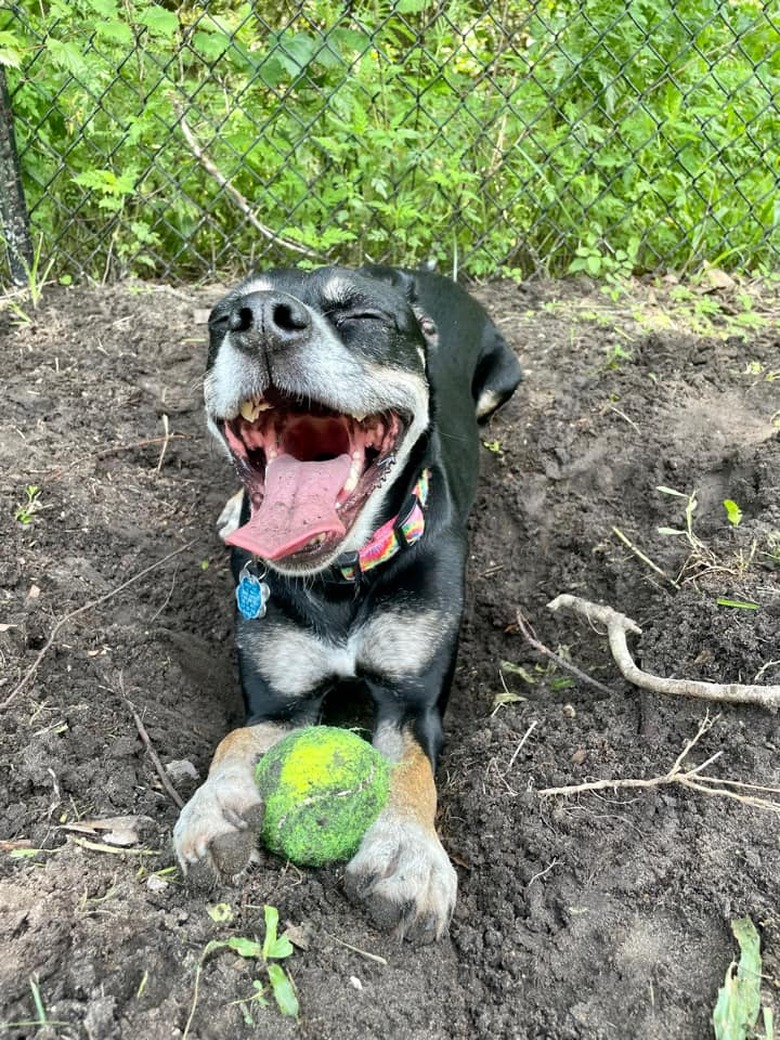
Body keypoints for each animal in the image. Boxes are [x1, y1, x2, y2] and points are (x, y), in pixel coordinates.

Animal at [173, 262, 522, 944]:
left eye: (361, 315)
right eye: (221, 319)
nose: (259, 319)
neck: (340, 578)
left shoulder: (413, 702)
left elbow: (411, 768)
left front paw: (408, 855)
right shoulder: (279, 701)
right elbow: (236, 739)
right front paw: (216, 806)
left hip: (504, 376)